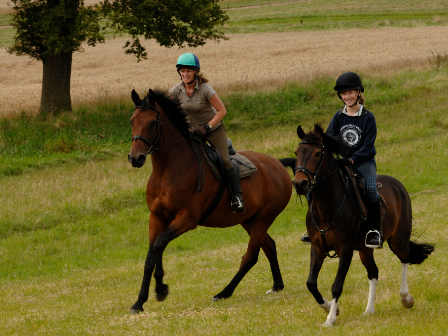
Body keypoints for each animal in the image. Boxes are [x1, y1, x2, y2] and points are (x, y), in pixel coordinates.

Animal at [127, 88, 294, 312]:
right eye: (132, 121)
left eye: (152, 123)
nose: (135, 158)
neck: (167, 170)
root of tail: (278, 165)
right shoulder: (157, 217)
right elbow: (151, 256)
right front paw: (139, 302)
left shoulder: (187, 219)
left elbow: (160, 243)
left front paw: (161, 288)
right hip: (249, 220)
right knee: (269, 246)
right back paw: (277, 285)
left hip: (264, 218)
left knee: (250, 256)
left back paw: (223, 293)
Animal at [284, 124, 434, 326]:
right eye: (297, 152)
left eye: (317, 153)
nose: (299, 183)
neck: (327, 205)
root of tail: (397, 185)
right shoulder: (317, 248)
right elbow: (311, 283)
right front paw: (331, 309)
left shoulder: (345, 249)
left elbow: (337, 285)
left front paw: (330, 319)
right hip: (365, 249)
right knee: (373, 272)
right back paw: (369, 310)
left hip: (399, 239)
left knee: (405, 258)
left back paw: (406, 298)